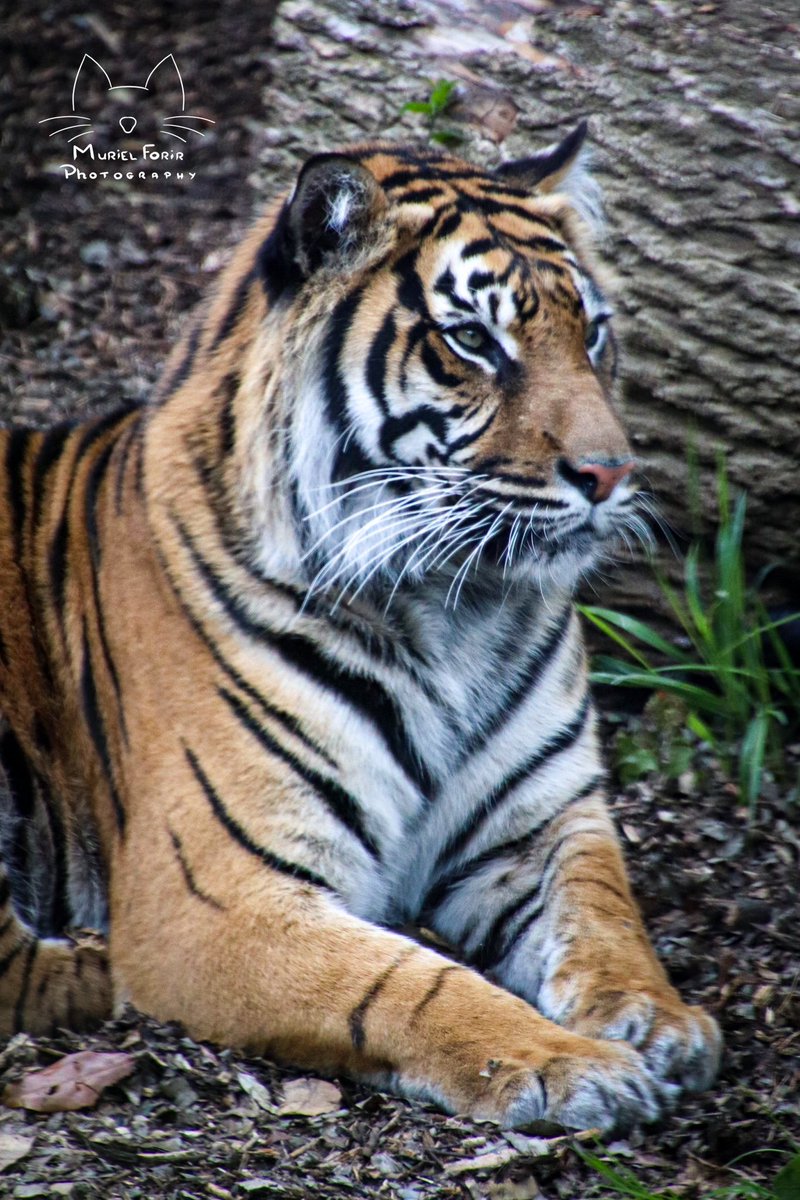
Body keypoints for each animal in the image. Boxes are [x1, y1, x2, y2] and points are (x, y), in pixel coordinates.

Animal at [0, 126, 724, 1128]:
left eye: (592, 333)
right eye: (473, 340)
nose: (610, 473)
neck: (455, 609)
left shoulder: (544, 824)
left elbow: (605, 915)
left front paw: (660, 1018)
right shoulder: (220, 895)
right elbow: (411, 982)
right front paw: (572, 1063)